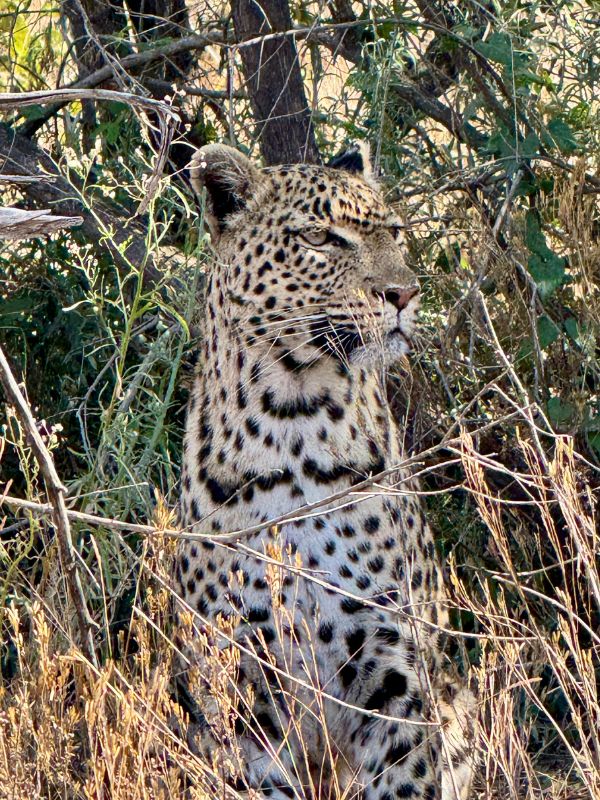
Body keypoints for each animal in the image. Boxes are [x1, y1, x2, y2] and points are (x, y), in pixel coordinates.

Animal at [174, 142, 476, 800]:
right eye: (320, 237)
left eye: (394, 233)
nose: (404, 292)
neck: (294, 420)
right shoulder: (246, 687)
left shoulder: (392, 666)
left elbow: (405, 775)